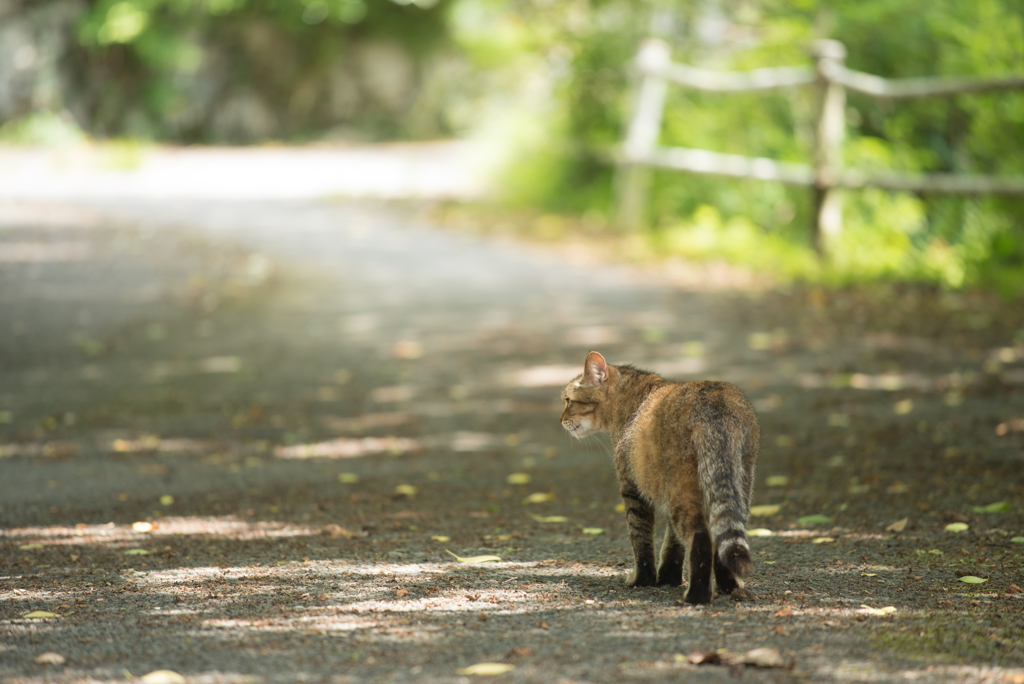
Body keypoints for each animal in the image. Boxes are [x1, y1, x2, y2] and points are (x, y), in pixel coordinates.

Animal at [561, 352, 761, 602]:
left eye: (567, 400)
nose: (560, 419)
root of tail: (714, 399)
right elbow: (673, 544)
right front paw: (668, 577)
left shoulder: (632, 488)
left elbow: (641, 539)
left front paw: (643, 580)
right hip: (737, 485)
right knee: (719, 534)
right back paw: (728, 587)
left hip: (682, 489)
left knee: (700, 538)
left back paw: (696, 596)